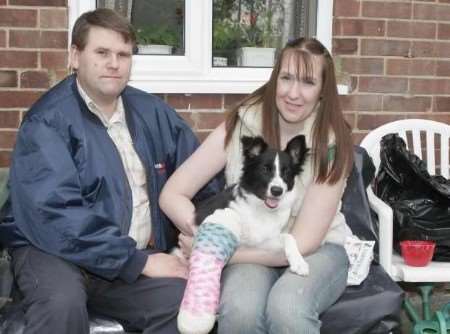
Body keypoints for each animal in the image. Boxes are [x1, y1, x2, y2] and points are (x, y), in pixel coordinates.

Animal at [195, 134, 312, 276]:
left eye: (286, 172)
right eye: (265, 169)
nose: (277, 191)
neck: (261, 208)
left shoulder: (263, 240)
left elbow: (288, 237)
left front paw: (299, 262)